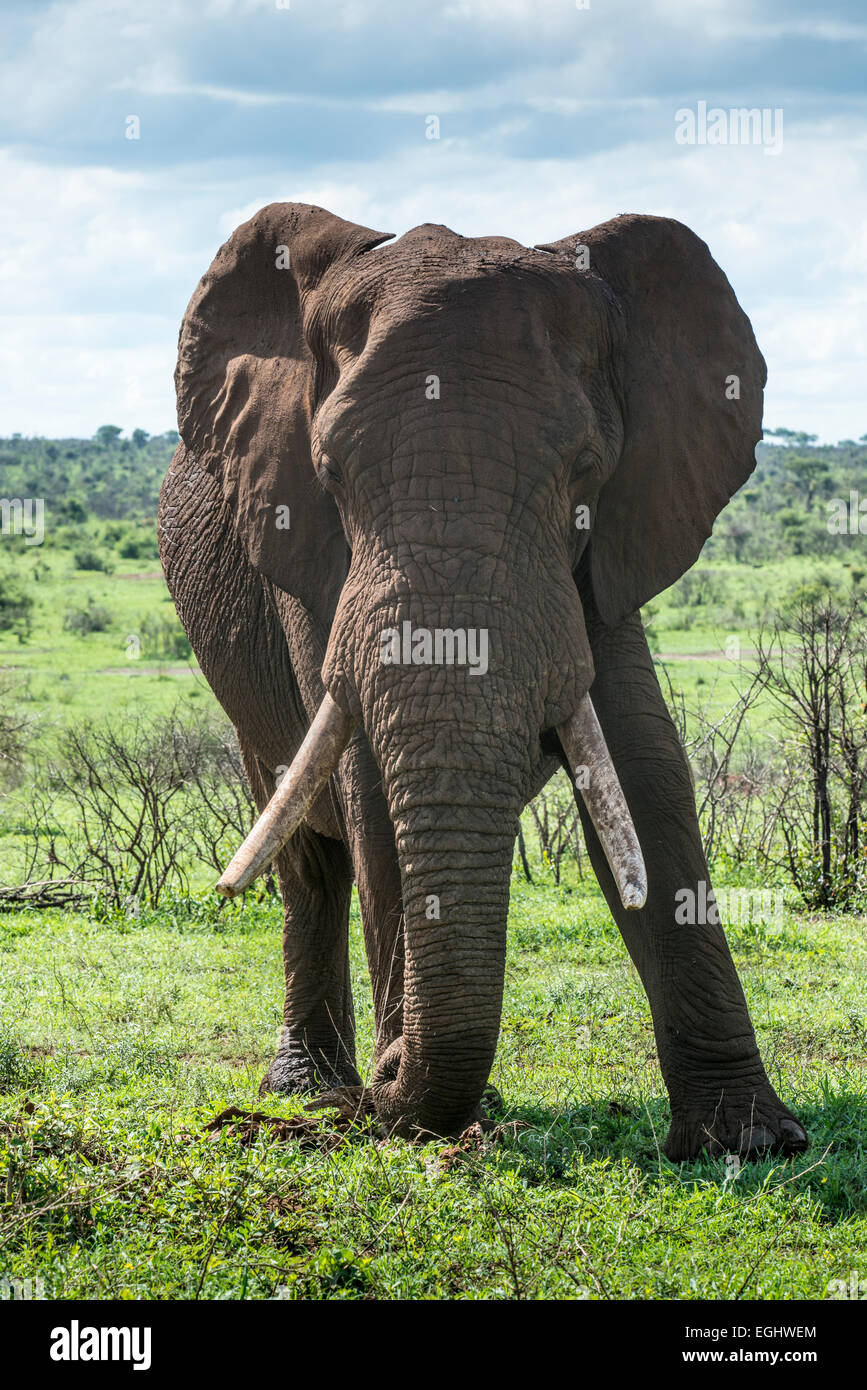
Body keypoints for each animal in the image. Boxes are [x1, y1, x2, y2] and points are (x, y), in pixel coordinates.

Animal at [159, 202, 811, 1162]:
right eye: (330, 475)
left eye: (584, 469)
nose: (392, 1072)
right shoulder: (303, 555)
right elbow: (366, 784)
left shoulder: (609, 542)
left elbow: (643, 770)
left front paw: (750, 1141)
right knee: (307, 848)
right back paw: (312, 1088)